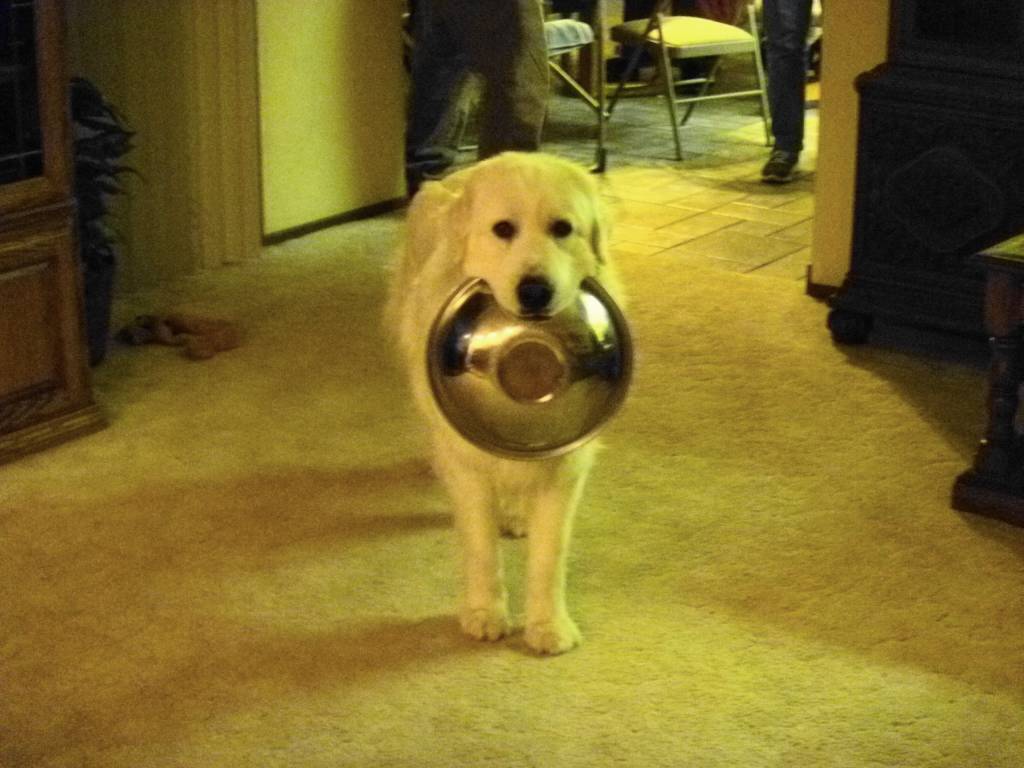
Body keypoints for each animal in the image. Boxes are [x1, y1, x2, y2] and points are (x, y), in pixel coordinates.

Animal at [388, 152, 622, 655]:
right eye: (503, 230)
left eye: (562, 228)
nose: (535, 291)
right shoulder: (470, 464)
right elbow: (480, 549)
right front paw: (485, 613)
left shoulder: (564, 468)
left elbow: (549, 556)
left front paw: (549, 626)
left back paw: (514, 515)